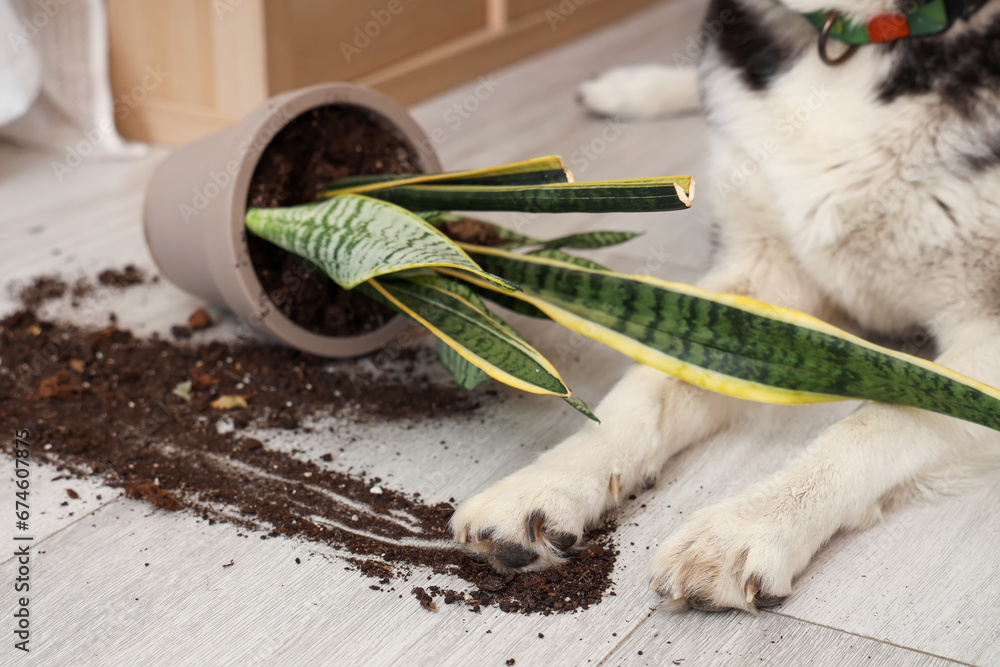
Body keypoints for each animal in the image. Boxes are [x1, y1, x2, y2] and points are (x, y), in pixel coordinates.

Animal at [450, 0, 1000, 612]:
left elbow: (887, 415)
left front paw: (748, 524)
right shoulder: (757, 277)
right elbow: (649, 384)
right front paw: (547, 481)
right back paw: (627, 88)